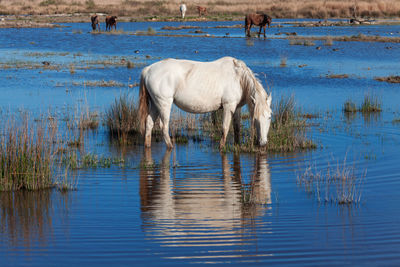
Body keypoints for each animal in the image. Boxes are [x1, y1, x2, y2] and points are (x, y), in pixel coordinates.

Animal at [139, 56, 274, 150]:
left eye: (269, 117)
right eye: (255, 119)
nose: (263, 143)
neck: (238, 77)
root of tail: (148, 70)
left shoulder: (237, 108)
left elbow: (237, 128)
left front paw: (237, 145)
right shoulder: (228, 106)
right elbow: (225, 127)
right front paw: (221, 147)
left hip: (155, 104)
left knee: (149, 123)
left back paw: (147, 145)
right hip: (164, 104)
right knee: (164, 126)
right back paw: (170, 146)